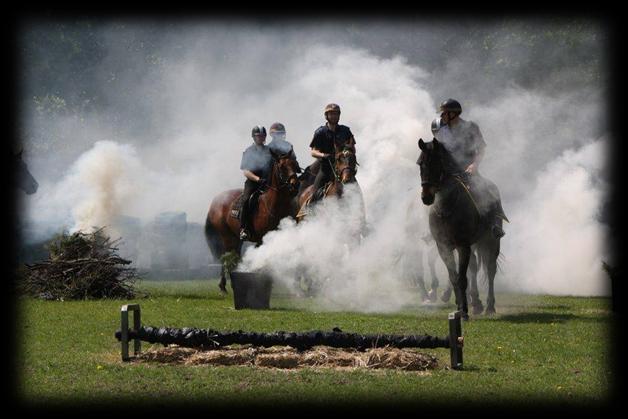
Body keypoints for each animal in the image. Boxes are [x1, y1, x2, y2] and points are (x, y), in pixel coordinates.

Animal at [202, 153, 298, 294]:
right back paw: (224, 286)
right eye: (282, 167)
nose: (295, 185)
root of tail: (215, 202)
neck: (272, 205)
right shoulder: (261, 239)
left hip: (236, 238)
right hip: (227, 236)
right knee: (227, 257)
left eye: (294, 164)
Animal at [418, 139, 506, 320]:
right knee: (474, 266)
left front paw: (464, 311)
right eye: (420, 164)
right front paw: (459, 306)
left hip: (491, 241)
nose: (426, 197)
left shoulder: (462, 245)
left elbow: (462, 278)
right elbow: (454, 277)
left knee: (490, 269)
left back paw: (490, 306)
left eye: (436, 163)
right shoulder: (444, 247)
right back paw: (477, 303)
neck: (447, 208)